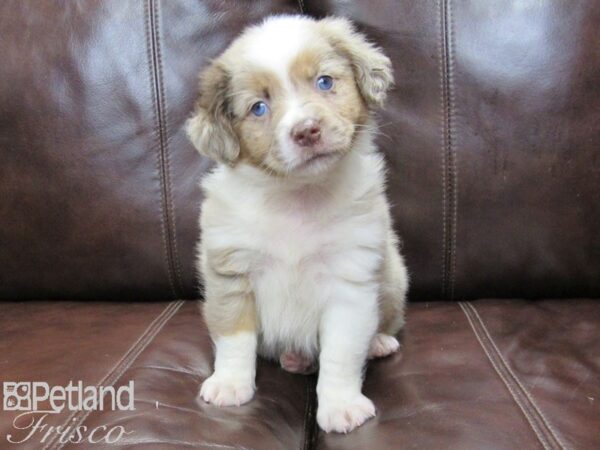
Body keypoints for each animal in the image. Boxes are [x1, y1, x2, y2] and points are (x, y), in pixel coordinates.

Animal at [188, 15, 410, 434]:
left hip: (393, 276)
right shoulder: (231, 272)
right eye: (259, 107)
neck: (297, 197)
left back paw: (377, 343)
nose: (307, 130)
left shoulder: (350, 281)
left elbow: (341, 351)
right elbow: (234, 336)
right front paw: (229, 383)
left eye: (324, 82)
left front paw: (341, 405)